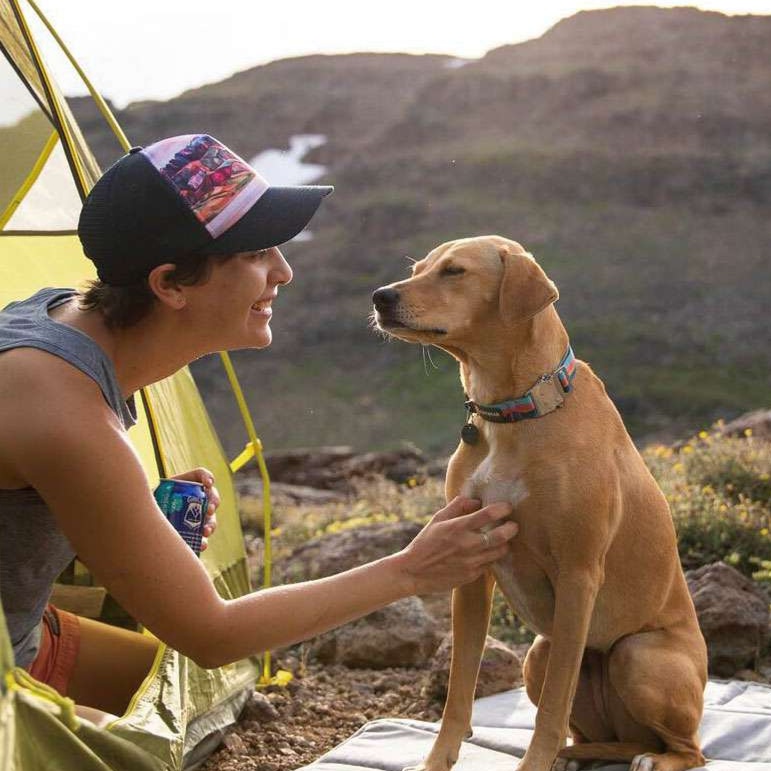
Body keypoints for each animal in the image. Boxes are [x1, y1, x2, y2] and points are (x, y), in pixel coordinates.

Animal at [370, 237, 708, 771]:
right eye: (420, 267)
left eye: (454, 271)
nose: (380, 296)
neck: (515, 412)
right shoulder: (471, 566)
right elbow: (459, 689)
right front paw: (437, 759)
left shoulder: (578, 573)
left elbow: (552, 706)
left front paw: (535, 762)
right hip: (539, 653)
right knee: (609, 733)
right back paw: (580, 753)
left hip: (638, 655)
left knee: (689, 749)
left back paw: (651, 759)